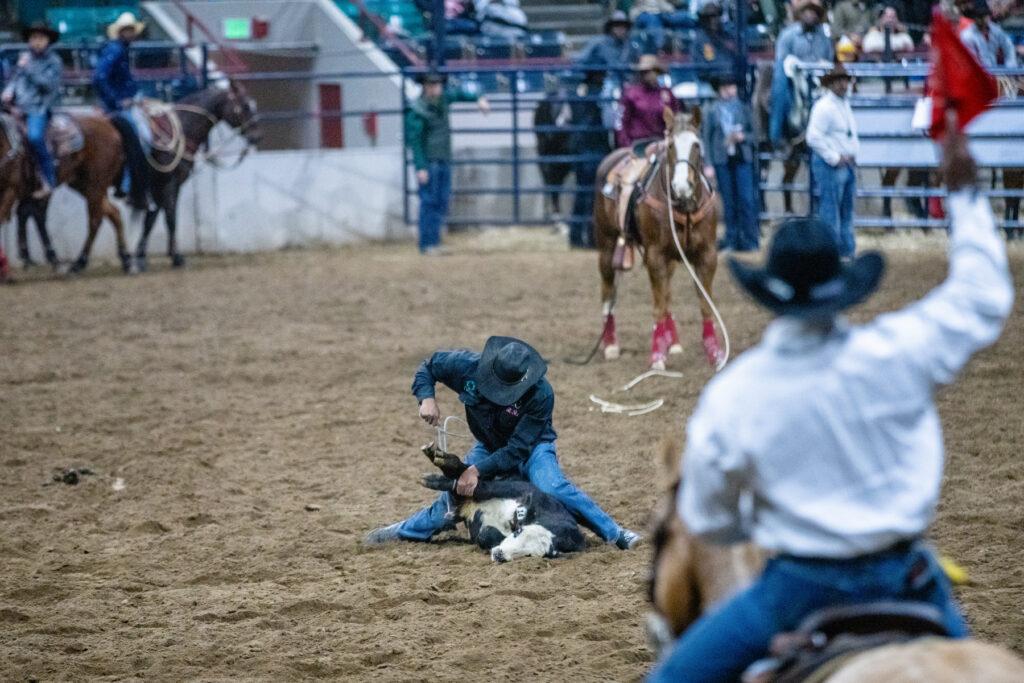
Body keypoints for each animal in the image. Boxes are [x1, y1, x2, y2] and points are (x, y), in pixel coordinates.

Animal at [134, 80, 260, 270]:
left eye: (254, 104)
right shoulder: (169, 182)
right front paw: (177, 257)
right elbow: (170, 218)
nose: (257, 136)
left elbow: (151, 219)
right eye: (245, 105)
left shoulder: (159, 186)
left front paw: (141, 256)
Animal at [421, 444, 585, 561]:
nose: (499, 554)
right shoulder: (517, 489)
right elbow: (482, 488)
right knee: (468, 476)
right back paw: (438, 460)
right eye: (519, 532)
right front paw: (432, 480)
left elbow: (486, 534)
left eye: (529, 555)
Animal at [593, 107, 720, 370]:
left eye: (697, 145)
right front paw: (657, 357)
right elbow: (658, 306)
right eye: (670, 146)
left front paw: (715, 353)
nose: (682, 186)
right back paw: (610, 345)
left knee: (667, 293)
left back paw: (674, 342)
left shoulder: (707, 254)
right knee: (608, 291)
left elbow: (705, 305)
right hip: (607, 245)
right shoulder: (656, 255)